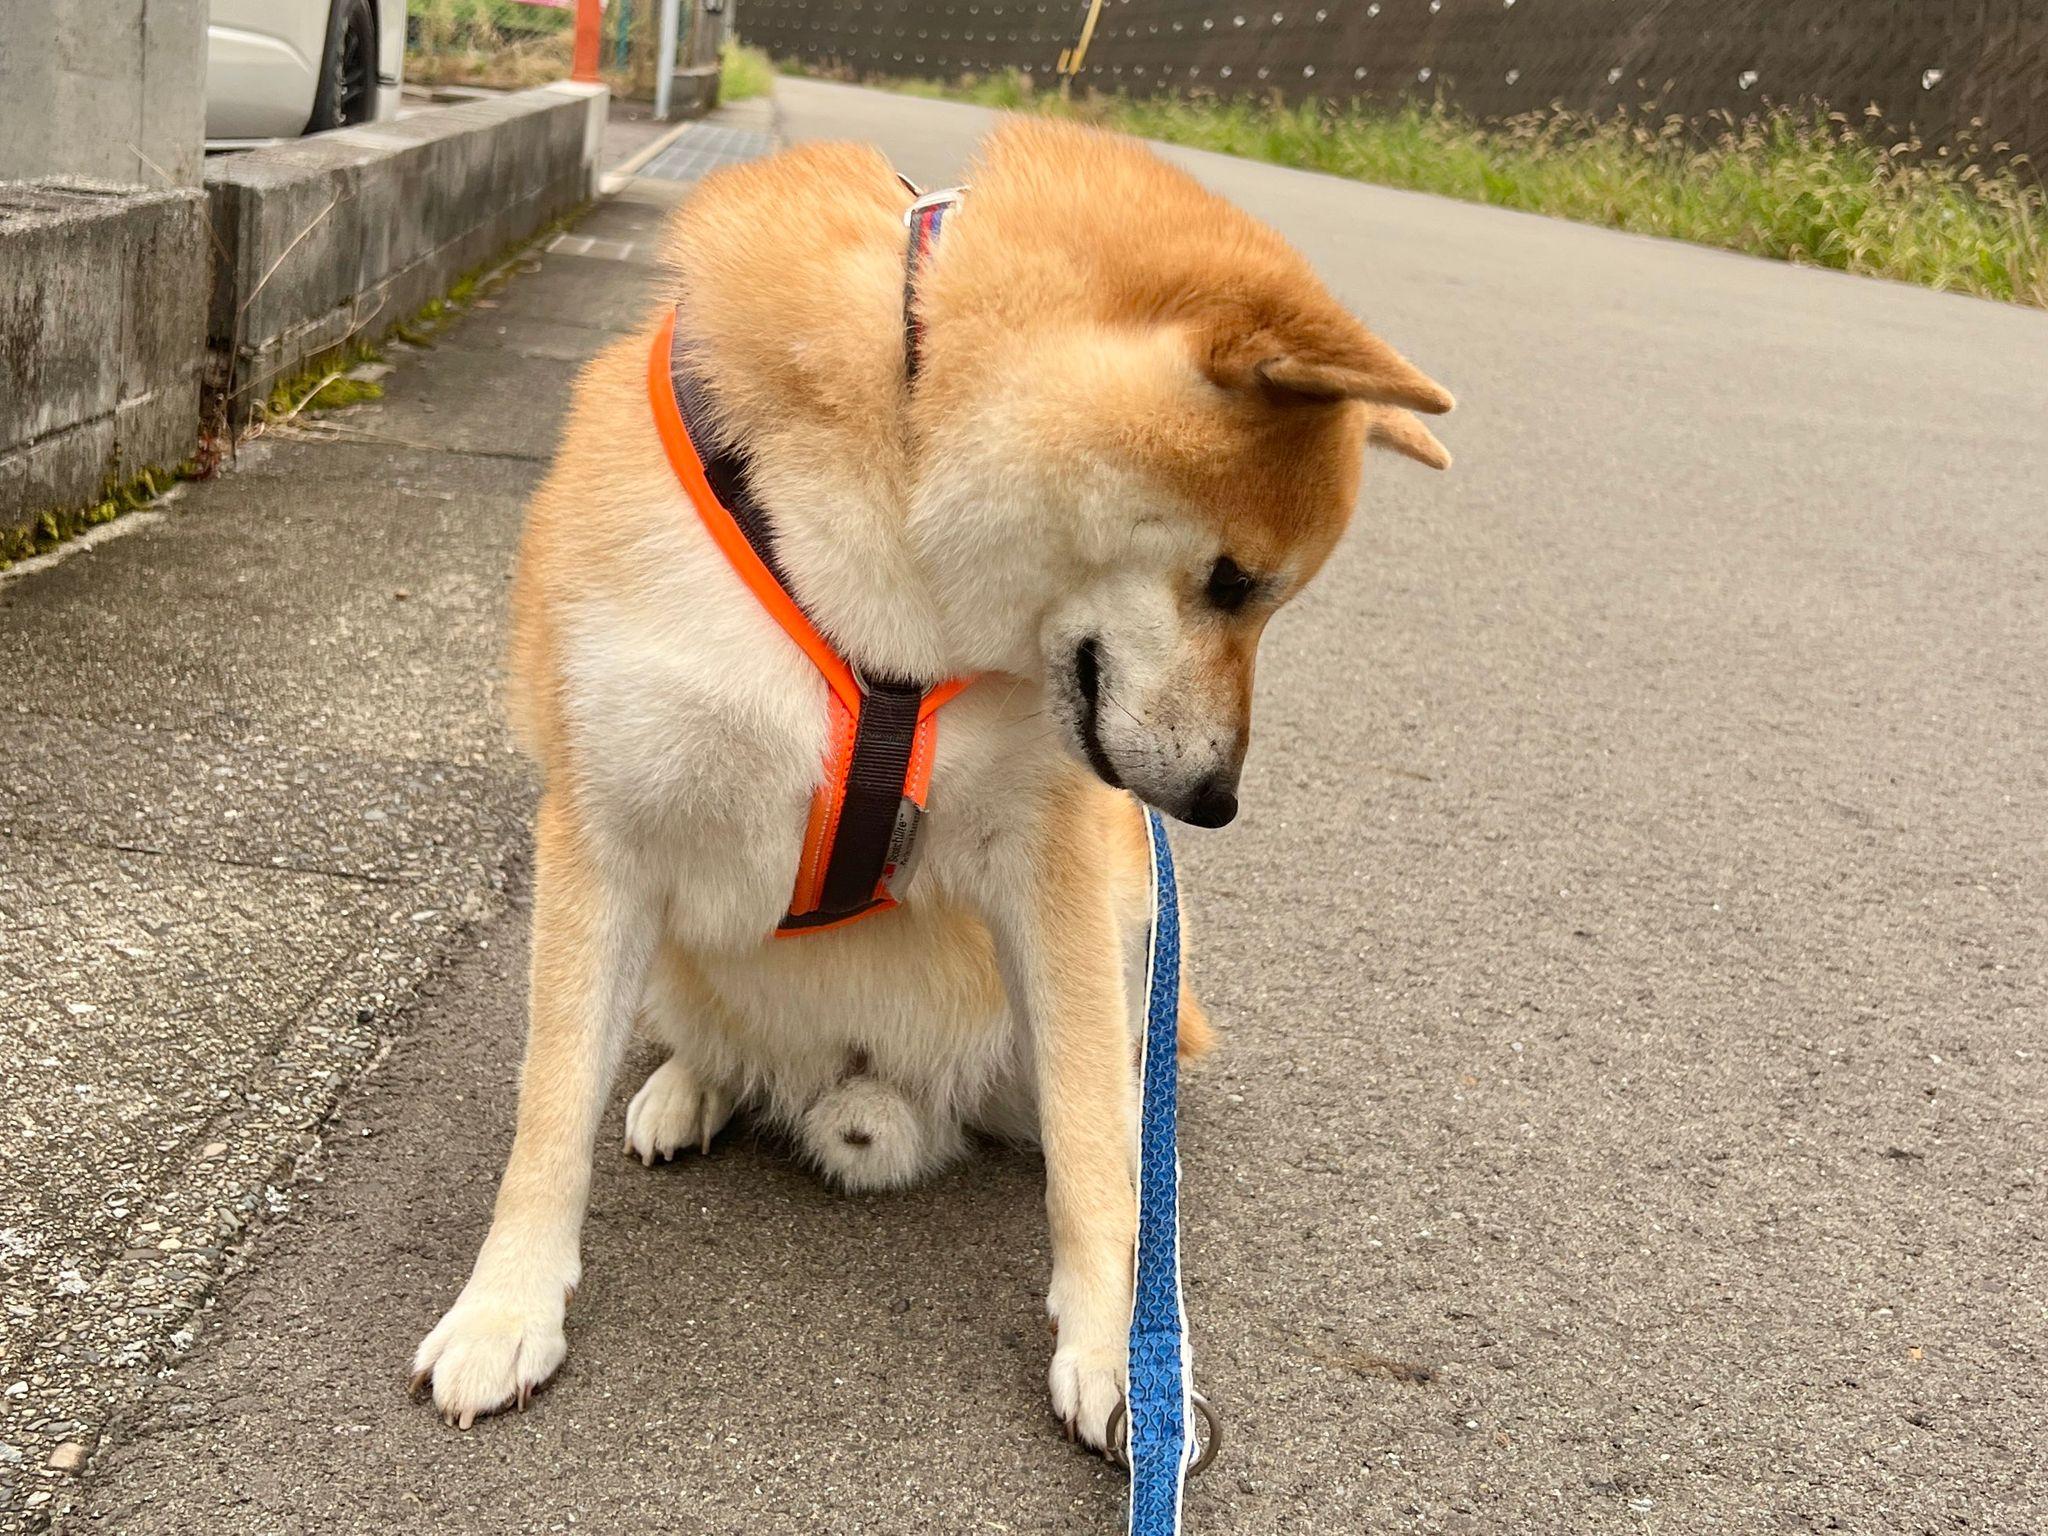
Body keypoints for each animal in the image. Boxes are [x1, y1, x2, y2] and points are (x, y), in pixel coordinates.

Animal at [407, 120, 1449, 1458]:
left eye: (1262, 597)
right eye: (1230, 582)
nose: (1214, 802)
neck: (899, 526)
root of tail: (867, 1093)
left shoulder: (1052, 864)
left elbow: (1091, 1158)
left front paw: (1119, 1352)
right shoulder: (606, 829)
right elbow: (547, 1108)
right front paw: (504, 1310)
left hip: (1130, 932)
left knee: (1108, 1111)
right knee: (700, 1042)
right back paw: (685, 1091)